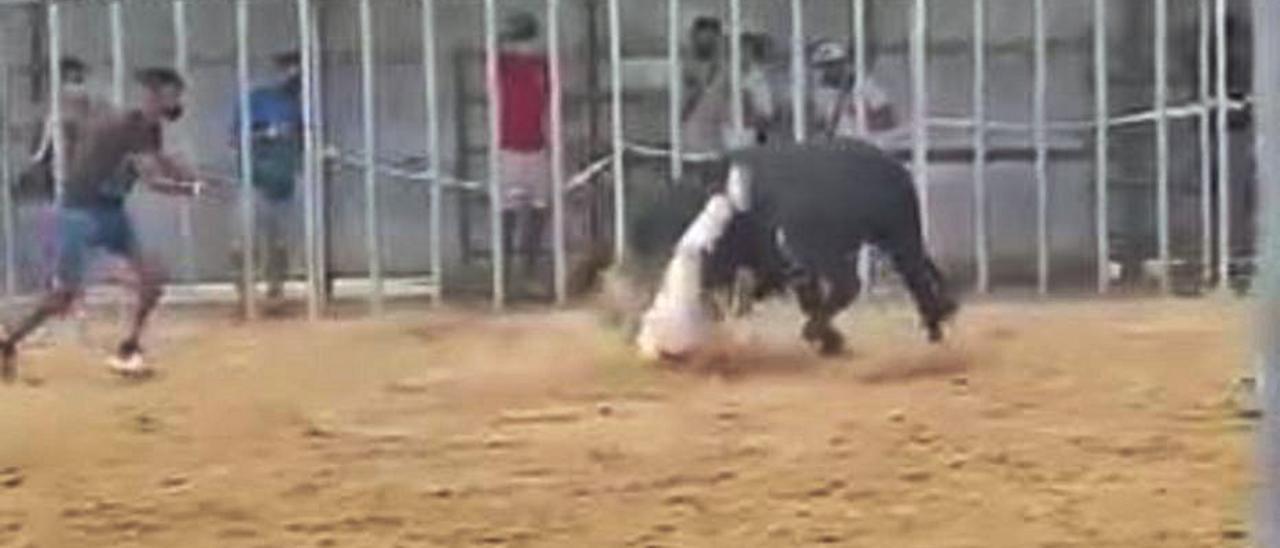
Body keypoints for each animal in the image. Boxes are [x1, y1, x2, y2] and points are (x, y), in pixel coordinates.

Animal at [619, 140, 962, 355]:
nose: (660, 346)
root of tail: (894, 168)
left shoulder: (803, 257)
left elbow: (827, 295)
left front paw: (826, 339)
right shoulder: (789, 267)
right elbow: (810, 299)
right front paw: (831, 341)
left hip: (897, 238)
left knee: (896, 279)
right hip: (893, 240)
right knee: (917, 275)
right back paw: (937, 319)